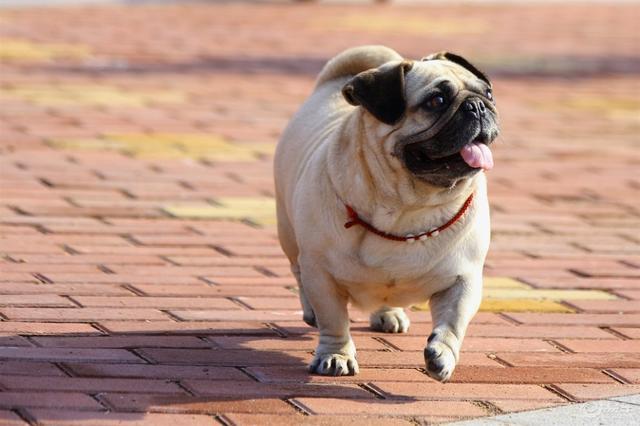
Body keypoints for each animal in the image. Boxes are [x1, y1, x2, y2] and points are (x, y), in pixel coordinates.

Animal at [272, 45, 498, 382]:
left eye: (489, 94)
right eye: (436, 101)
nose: (478, 107)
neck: (408, 206)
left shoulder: (464, 279)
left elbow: (454, 321)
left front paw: (442, 355)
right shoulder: (322, 275)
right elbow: (333, 320)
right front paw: (336, 355)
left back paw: (389, 314)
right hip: (289, 232)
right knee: (299, 273)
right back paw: (311, 310)